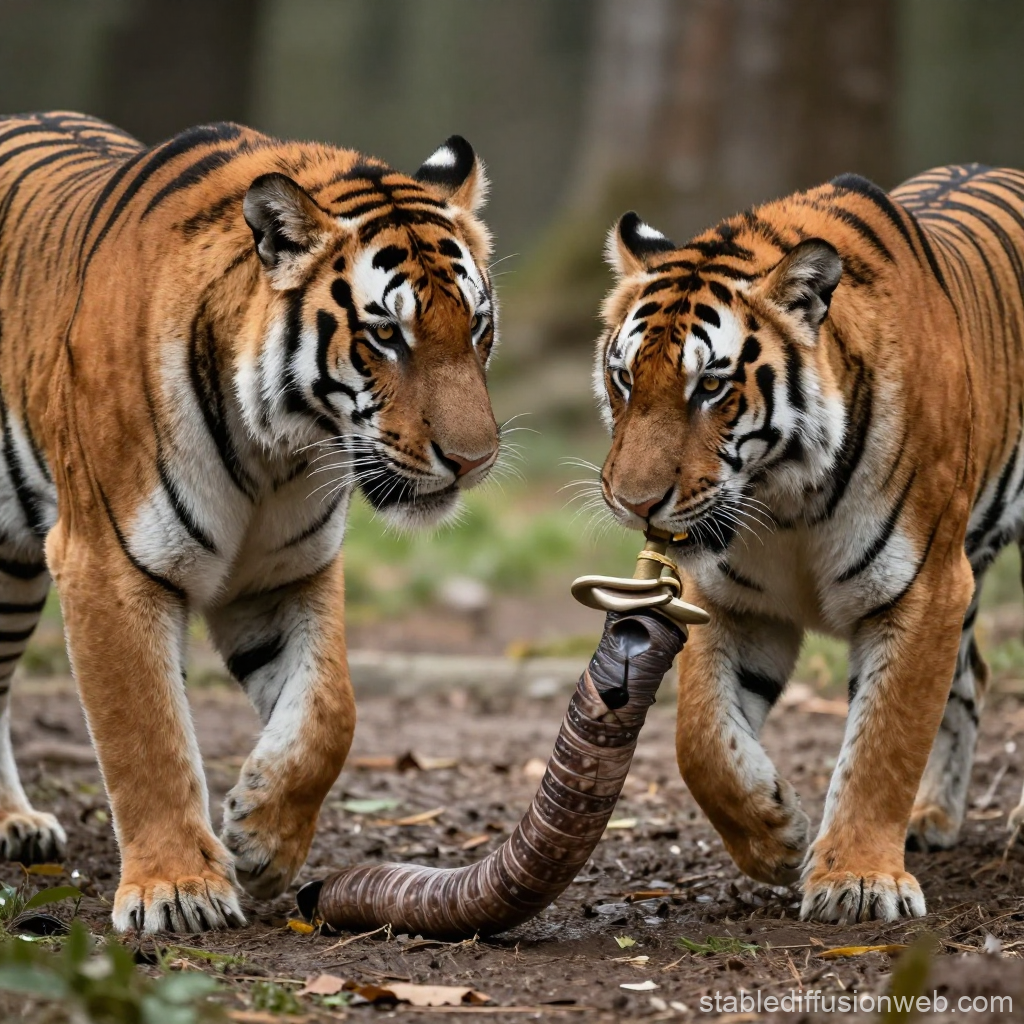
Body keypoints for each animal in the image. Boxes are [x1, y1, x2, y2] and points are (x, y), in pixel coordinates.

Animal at [0, 111, 501, 932]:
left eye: (478, 328)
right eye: (387, 335)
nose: (474, 460)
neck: (280, 450)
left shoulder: (283, 574)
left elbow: (331, 709)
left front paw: (262, 837)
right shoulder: (108, 564)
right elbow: (147, 733)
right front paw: (177, 890)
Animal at [592, 164, 1024, 924]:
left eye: (711, 386)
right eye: (623, 378)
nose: (633, 501)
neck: (786, 500)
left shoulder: (924, 588)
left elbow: (884, 743)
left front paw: (859, 881)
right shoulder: (730, 601)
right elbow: (700, 738)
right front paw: (776, 835)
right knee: (972, 677)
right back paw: (933, 818)